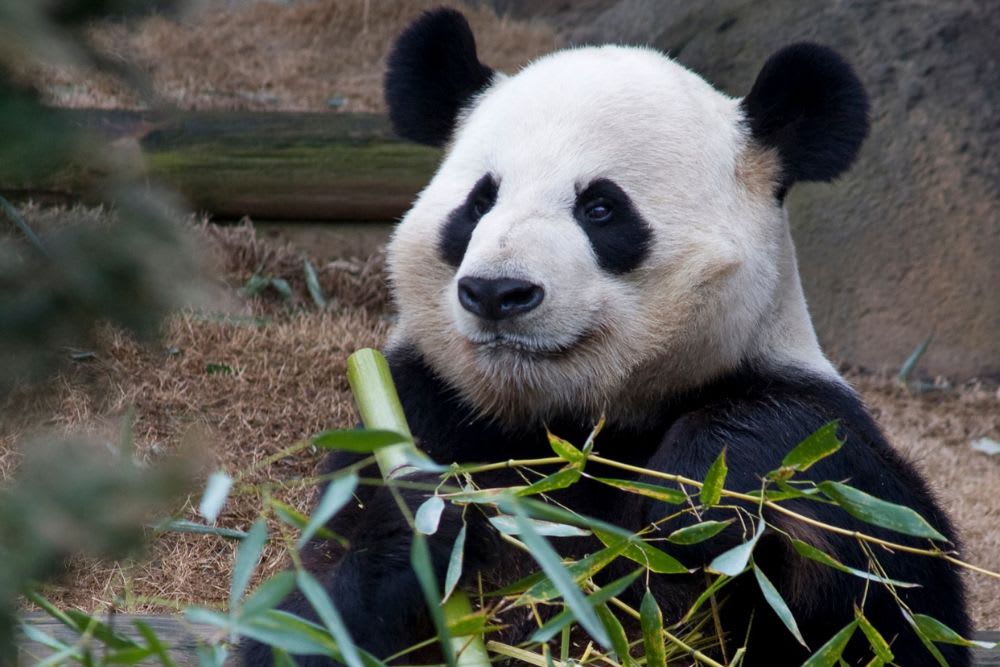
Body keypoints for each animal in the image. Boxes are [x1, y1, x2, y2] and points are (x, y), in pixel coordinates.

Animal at [242, 6, 968, 667]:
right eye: (479, 202)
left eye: (599, 207)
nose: (498, 293)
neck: (574, 420)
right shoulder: (420, 406)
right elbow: (300, 614)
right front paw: (425, 513)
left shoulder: (807, 419)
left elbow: (892, 602)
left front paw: (700, 482)